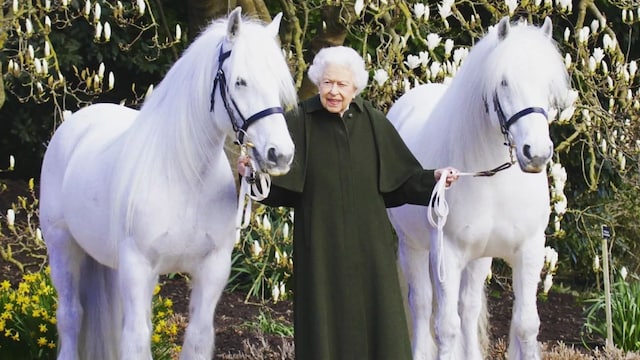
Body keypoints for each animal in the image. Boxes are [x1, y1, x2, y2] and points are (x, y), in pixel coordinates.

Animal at [41, 8, 296, 360]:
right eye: (240, 81)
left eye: (278, 83)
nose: (280, 154)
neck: (185, 178)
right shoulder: (139, 267)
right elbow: (137, 339)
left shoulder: (212, 268)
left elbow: (198, 337)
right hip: (62, 245)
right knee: (70, 316)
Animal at [388, 17, 572, 360]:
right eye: (503, 82)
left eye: (547, 84)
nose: (536, 154)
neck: (494, 181)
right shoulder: (446, 253)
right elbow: (446, 327)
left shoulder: (529, 251)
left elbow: (526, 325)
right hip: (413, 246)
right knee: (422, 305)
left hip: (478, 257)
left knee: (469, 307)